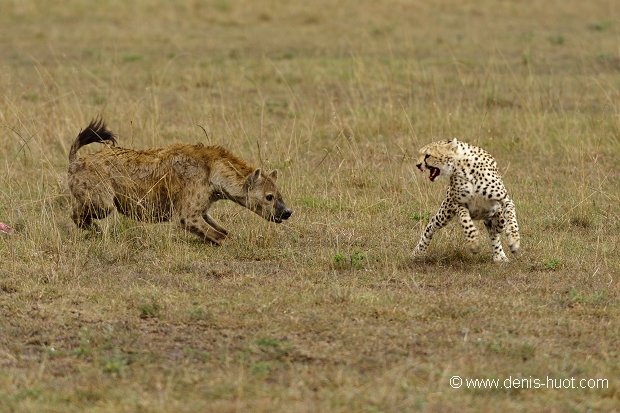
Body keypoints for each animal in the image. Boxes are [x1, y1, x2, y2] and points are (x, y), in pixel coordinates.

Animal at [69, 117, 292, 243]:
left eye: (280, 195)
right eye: (269, 197)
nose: (288, 212)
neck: (214, 173)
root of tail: (76, 160)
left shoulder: (203, 208)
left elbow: (221, 229)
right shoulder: (187, 214)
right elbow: (219, 235)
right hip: (102, 198)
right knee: (78, 212)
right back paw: (95, 230)